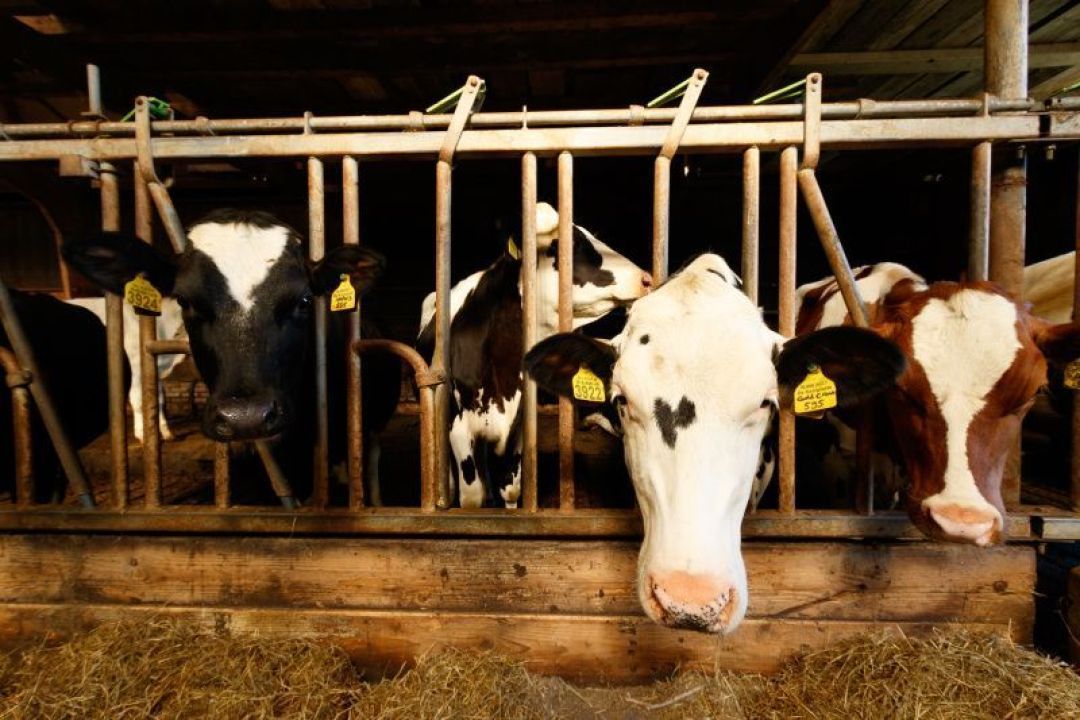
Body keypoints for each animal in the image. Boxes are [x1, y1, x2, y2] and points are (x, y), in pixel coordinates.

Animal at [412, 199, 648, 509]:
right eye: (568, 244)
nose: (646, 279)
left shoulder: (517, 429)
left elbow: (511, 490)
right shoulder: (459, 430)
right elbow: (472, 497)